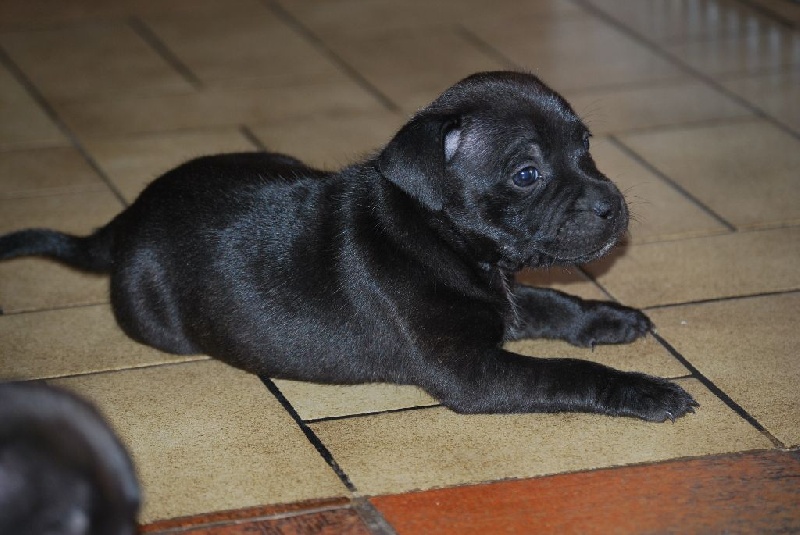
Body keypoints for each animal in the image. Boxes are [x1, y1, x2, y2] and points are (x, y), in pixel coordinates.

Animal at [0, 71, 696, 421]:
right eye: (526, 173)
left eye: (585, 147)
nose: (613, 205)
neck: (432, 234)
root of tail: (128, 218)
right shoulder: (475, 372)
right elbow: (567, 372)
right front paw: (648, 391)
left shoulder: (502, 303)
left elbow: (554, 305)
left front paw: (609, 318)